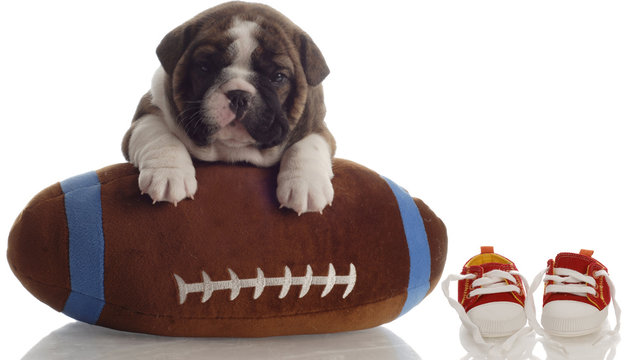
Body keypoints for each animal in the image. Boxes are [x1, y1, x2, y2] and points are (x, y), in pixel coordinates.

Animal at [120, 1, 334, 214]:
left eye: (278, 77)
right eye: (204, 68)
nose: (239, 95)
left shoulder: (317, 126)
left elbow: (308, 145)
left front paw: (306, 185)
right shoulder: (149, 110)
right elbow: (158, 135)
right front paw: (168, 174)